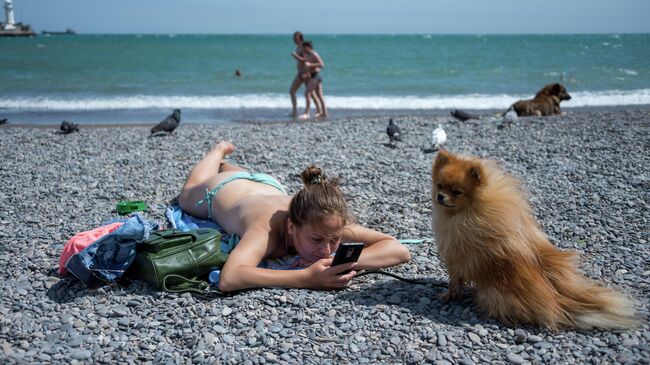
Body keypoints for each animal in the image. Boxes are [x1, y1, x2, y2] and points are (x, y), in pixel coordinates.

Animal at [430, 149, 632, 332]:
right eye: (440, 185)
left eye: (457, 191)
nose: (440, 196)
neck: (469, 210)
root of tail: (556, 297)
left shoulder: (454, 259)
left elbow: (454, 282)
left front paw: (448, 296)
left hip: (491, 293)